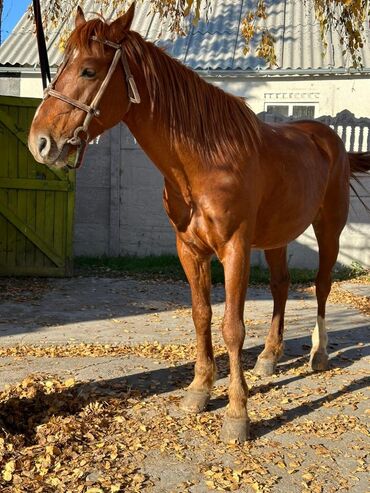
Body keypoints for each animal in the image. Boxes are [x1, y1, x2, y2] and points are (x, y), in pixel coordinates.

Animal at [28, 2, 370, 442]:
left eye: (88, 70)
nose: (39, 142)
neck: (208, 160)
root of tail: (329, 139)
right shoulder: (190, 250)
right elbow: (201, 315)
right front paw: (199, 390)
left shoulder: (235, 248)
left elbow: (232, 327)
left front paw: (237, 413)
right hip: (277, 237)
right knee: (281, 286)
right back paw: (269, 357)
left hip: (329, 227)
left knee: (322, 285)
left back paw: (320, 352)